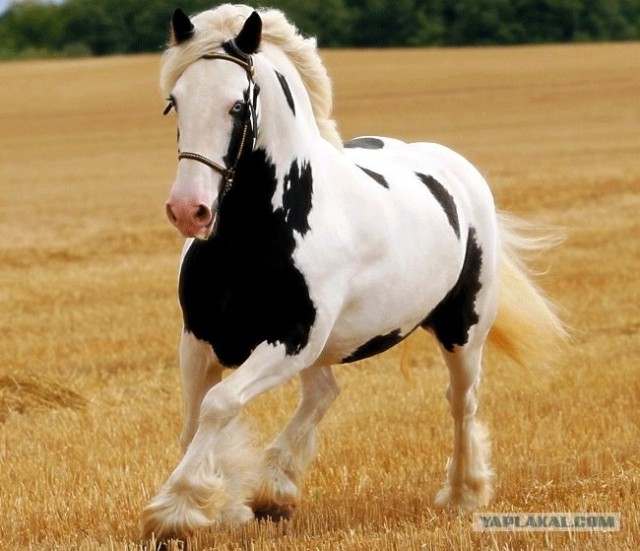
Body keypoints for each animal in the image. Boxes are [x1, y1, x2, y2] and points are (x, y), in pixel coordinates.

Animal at [140, 4, 566, 541]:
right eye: (174, 102)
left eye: (237, 105)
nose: (188, 210)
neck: (257, 232)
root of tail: (457, 169)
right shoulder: (199, 338)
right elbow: (196, 419)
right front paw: (223, 504)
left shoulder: (290, 340)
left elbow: (219, 405)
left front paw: (173, 510)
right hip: (329, 345)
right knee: (324, 392)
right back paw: (274, 490)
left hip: (462, 330)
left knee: (460, 401)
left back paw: (462, 494)